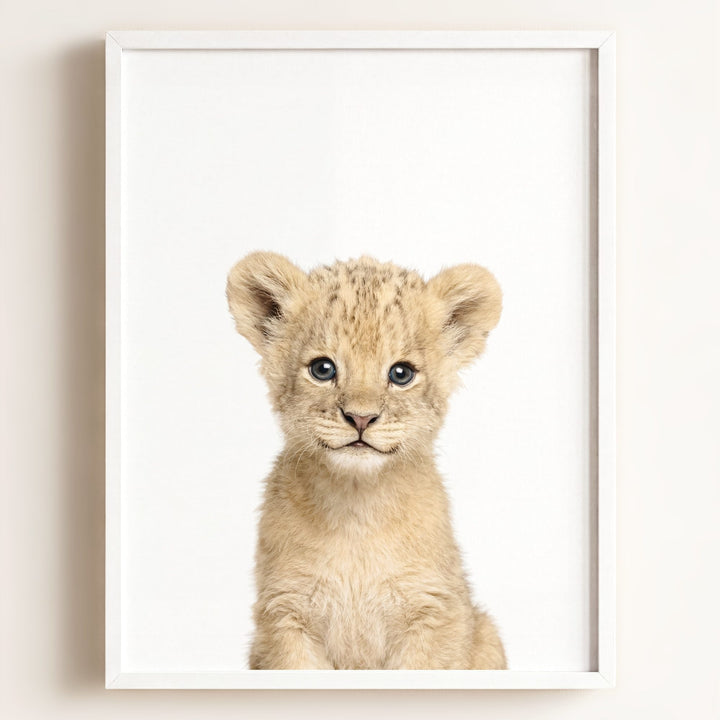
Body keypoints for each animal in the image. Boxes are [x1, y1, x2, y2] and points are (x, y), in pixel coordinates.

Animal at [226, 252, 506, 670]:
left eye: (401, 373)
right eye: (323, 369)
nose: (360, 418)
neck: (356, 510)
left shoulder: (436, 612)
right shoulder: (285, 615)